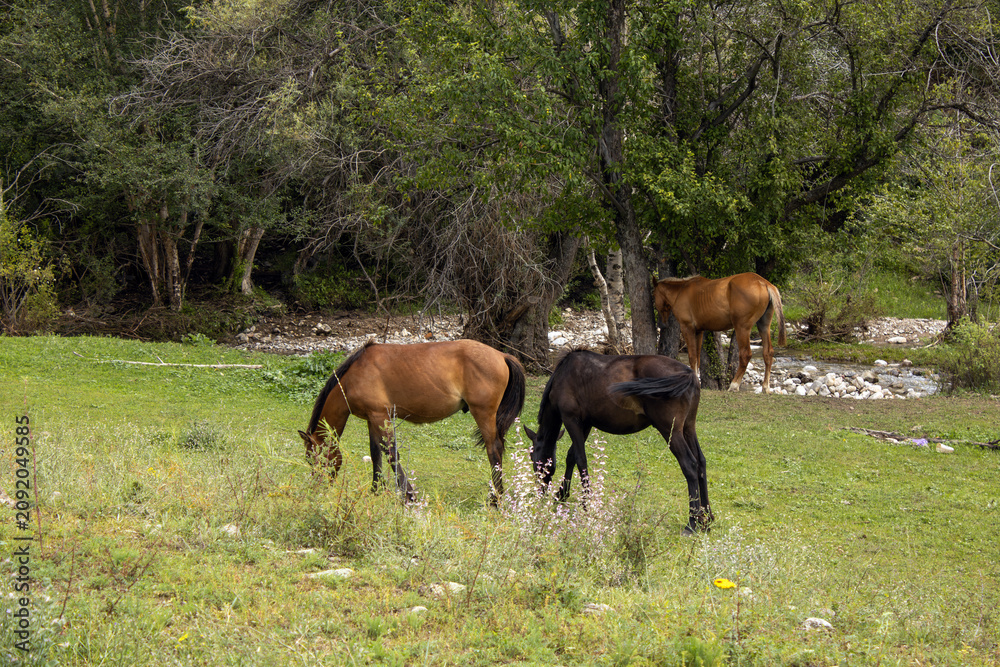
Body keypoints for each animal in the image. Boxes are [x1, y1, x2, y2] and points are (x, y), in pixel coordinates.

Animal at [299, 339, 526, 504]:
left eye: (312, 459)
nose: (315, 487)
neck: (353, 377)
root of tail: (502, 355)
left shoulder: (380, 416)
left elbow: (391, 454)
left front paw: (408, 495)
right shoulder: (373, 419)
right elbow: (376, 454)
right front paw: (376, 490)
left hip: (483, 414)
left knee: (494, 450)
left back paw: (495, 498)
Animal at [523, 349, 712, 534]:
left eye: (533, 458)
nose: (540, 490)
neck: (562, 376)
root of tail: (689, 374)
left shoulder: (571, 419)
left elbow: (580, 459)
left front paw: (586, 504)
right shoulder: (585, 423)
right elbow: (571, 457)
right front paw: (561, 494)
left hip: (671, 430)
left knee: (689, 465)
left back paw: (691, 523)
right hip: (688, 427)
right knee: (701, 462)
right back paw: (707, 520)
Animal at [653, 272, 786, 393]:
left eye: (654, 296)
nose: (662, 324)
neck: (681, 291)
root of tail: (764, 283)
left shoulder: (687, 328)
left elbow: (692, 357)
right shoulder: (698, 331)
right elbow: (697, 357)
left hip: (742, 328)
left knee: (745, 354)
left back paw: (734, 385)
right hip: (763, 326)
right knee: (768, 353)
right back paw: (765, 387)